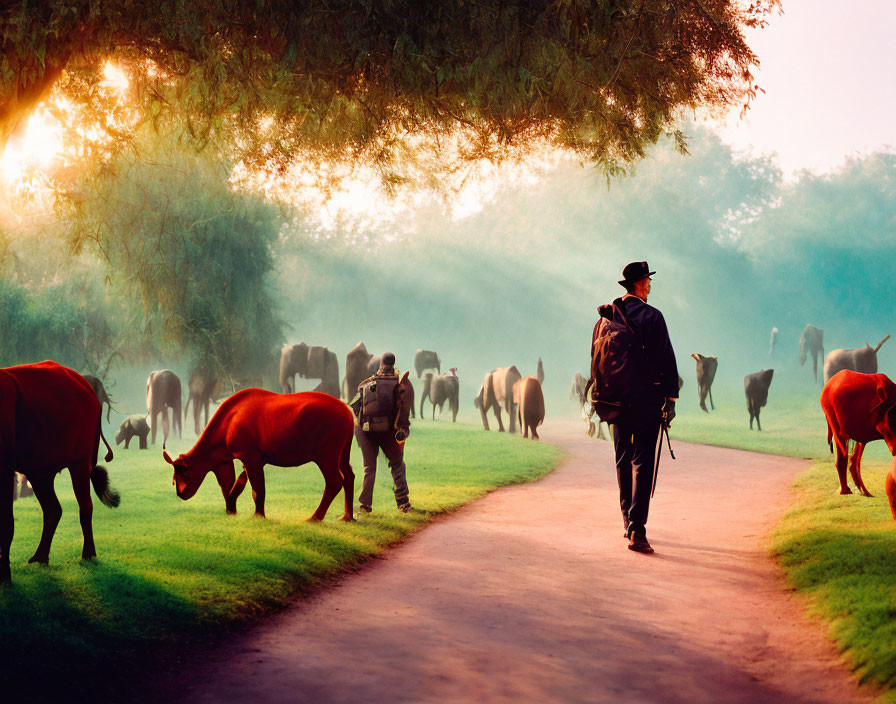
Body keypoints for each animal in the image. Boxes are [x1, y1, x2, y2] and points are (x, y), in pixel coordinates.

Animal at [0, 364, 120, 584]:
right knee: (51, 503)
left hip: (81, 443)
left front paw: (4, 578)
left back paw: (88, 556)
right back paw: (39, 559)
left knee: (83, 498)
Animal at [166, 388, 356, 520]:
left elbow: (257, 489)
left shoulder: (249, 455)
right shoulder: (246, 459)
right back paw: (348, 516)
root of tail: (348, 413)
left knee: (334, 481)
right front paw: (231, 508)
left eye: (184, 473)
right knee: (349, 475)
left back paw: (315, 517)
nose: (180, 493)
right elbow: (236, 486)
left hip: (326, 454)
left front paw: (259, 516)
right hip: (344, 450)